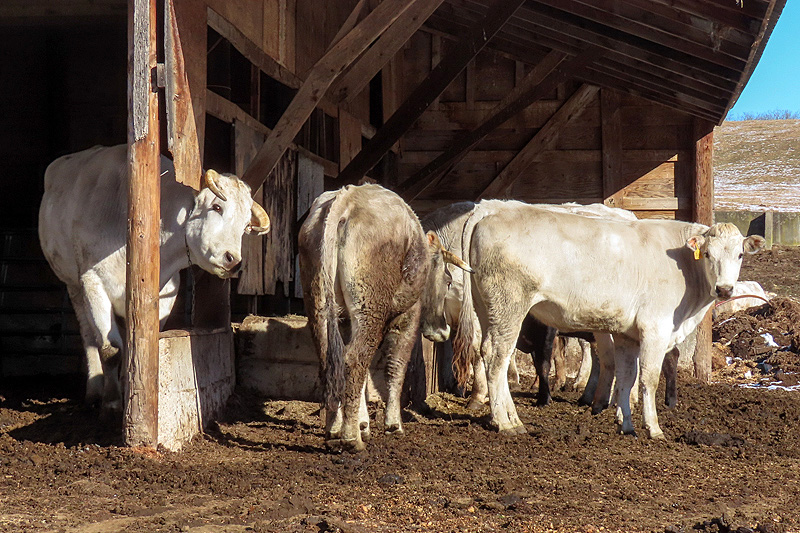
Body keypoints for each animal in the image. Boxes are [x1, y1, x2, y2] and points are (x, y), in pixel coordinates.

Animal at [38, 144, 270, 417]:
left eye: (246, 226)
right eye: (216, 207)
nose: (233, 260)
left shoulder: (166, 292)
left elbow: (140, 346)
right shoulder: (93, 282)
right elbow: (110, 349)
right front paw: (112, 402)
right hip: (73, 286)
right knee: (90, 338)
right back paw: (94, 391)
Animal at [297, 184, 471, 453]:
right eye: (449, 279)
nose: (443, 332)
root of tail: (348, 197)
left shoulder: (347, 321)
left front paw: (363, 424)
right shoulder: (407, 317)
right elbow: (396, 367)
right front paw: (392, 423)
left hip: (320, 304)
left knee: (332, 362)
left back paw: (334, 430)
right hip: (370, 308)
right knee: (353, 360)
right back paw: (350, 438)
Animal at [454, 199, 764, 438]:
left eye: (740, 254)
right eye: (708, 253)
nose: (724, 289)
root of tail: (492, 210)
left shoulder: (628, 334)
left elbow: (626, 377)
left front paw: (626, 424)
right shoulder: (655, 327)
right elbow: (648, 378)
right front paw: (653, 428)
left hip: (488, 308)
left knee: (489, 353)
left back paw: (509, 418)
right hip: (510, 306)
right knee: (497, 358)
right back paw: (505, 423)